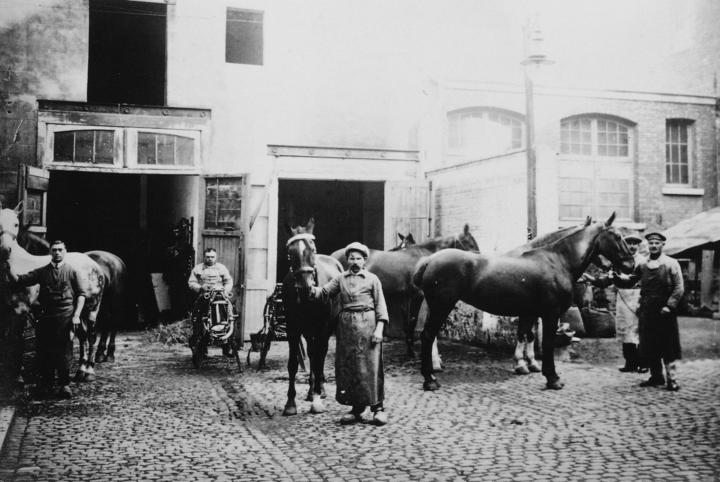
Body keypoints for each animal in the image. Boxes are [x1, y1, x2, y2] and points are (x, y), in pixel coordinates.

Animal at [282, 217, 344, 414]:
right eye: (290, 252)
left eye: (313, 249)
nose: (305, 287)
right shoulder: (293, 328)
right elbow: (293, 364)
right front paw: (290, 403)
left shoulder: (323, 327)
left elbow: (319, 357)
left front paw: (317, 397)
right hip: (308, 330)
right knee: (312, 352)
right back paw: (311, 391)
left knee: (320, 355)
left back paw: (319, 390)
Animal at [414, 215, 632, 392]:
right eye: (617, 236)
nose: (630, 265)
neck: (557, 261)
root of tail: (429, 260)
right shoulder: (550, 314)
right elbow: (546, 343)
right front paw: (552, 378)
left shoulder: (530, 312)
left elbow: (528, 335)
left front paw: (527, 365)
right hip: (441, 306)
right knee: (428, 336)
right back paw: (430, 379)